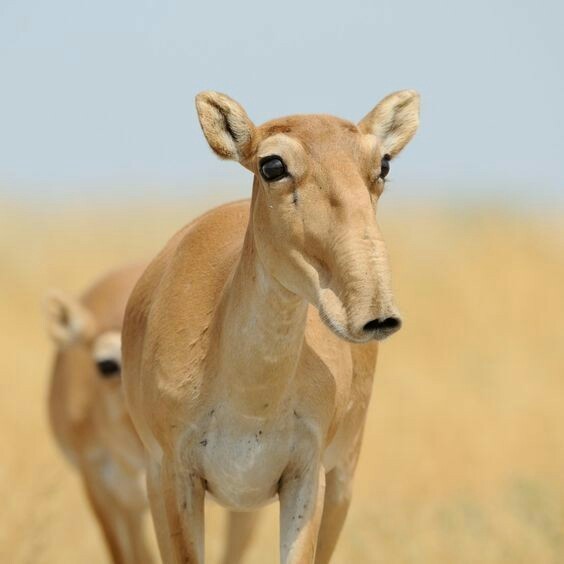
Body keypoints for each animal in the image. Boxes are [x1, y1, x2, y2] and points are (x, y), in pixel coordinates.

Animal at [122, 90, 418, 560]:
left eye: (384, 163)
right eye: (272, 165)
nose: (376, 311)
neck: (250, 404)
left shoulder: (306, 478)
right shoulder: (171, 476)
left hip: (338, 481)